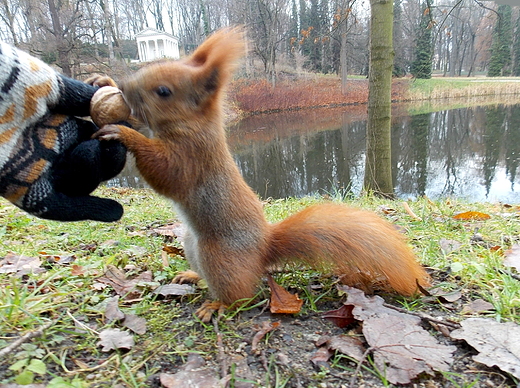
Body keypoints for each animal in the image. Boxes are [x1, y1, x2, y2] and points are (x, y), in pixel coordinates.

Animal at [95, 28, 432, 322]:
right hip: (191, 243)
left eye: (164, 91)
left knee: (240, 295)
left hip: (218, 256)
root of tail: (262, 249)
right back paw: (192, 275)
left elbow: (165, 172)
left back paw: (217, 304)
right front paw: (104, 80)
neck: (193, 124)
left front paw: (125, 133)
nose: (125, 86)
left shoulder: (193, 156)